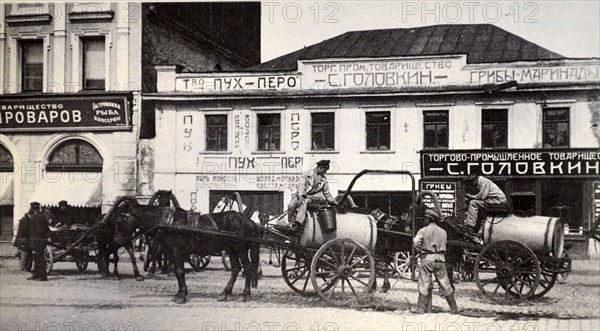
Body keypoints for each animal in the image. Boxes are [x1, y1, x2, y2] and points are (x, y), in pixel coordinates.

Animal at [102, 196, 262, 304]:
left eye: (119, 221)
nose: (117, 241)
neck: (166, 221)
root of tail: (249, 222)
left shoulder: (177, 250)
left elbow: (179, 271)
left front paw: (181, 295)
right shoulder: (170, 253)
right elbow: (177, 272)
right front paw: (180, 293)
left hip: (241, 249)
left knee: (247, 268)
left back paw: (244, 294)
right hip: (231, 249)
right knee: (235, 269)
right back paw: (224, 293)